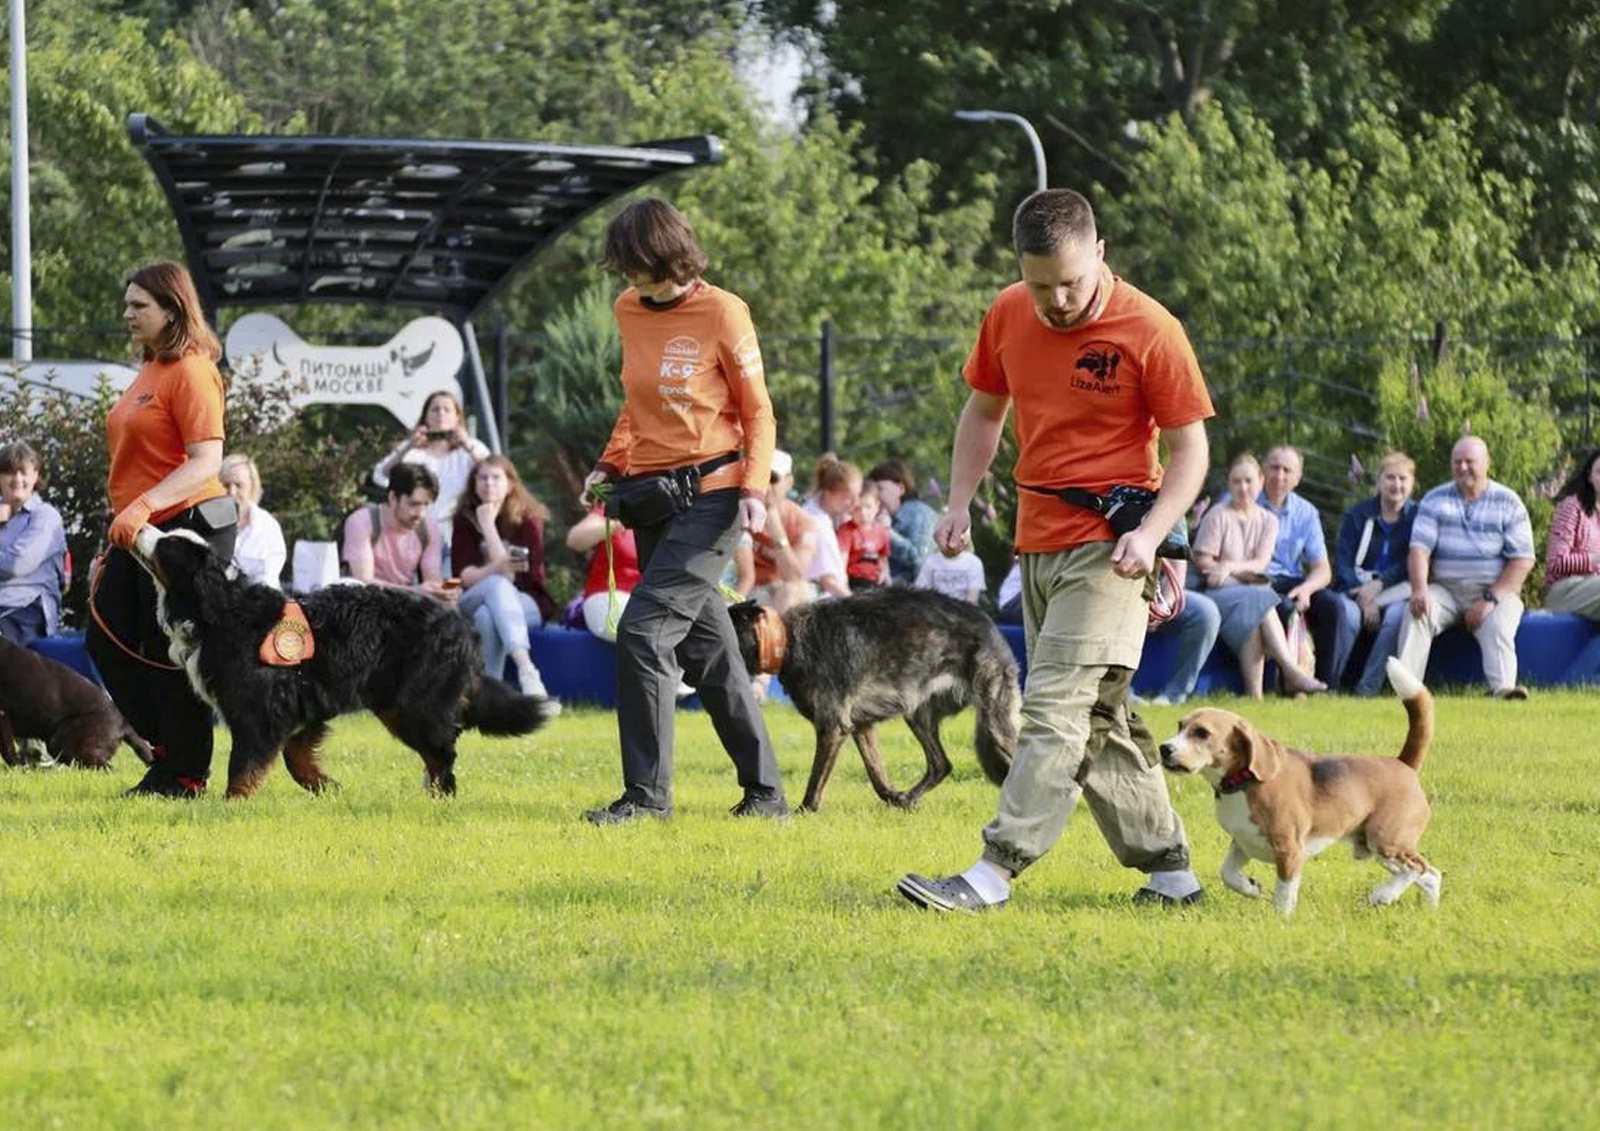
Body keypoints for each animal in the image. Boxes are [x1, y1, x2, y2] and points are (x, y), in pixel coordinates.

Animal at [0, 636, 155, 771]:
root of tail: (124, 722)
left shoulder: (3, 715)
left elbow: (8, 751)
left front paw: (16, 769)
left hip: (62, 742)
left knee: (106, 768)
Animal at [131, 527, 556, 799]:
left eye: (168, 544)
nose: (139, 526)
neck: (217, 611)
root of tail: (461, 626)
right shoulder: (303, 704)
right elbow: (295, 754)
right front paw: (323, 785)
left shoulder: (260, 708)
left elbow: (244, 766)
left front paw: (233, 803)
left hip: (414, 706)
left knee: (442, 752)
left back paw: (439, 798)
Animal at [732, 585, 1017, 812]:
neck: (786, 641)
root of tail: (989, 624)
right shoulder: (862, 726)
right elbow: (876, 774)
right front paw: (895, 798)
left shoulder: (832, 727)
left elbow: (815, 781)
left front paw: (803, 811)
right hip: (918, 716)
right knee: (940, 765)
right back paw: (910, 797)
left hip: (996, 726)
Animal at [1152, 659, 1440, 915]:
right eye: (1180, 726)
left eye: (1202, 733)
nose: (1164, 749)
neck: (1242, 783)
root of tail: (1403, 764)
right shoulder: (1243, 841)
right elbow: (1227, 873)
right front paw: (1251, 888)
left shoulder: (1288, 850)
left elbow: (1284, 894)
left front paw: (1281, 922)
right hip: (1380, 850)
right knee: (1431, 875)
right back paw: (1428, 911)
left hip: (1385, 840)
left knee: (1417, 869)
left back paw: (1383, 895)